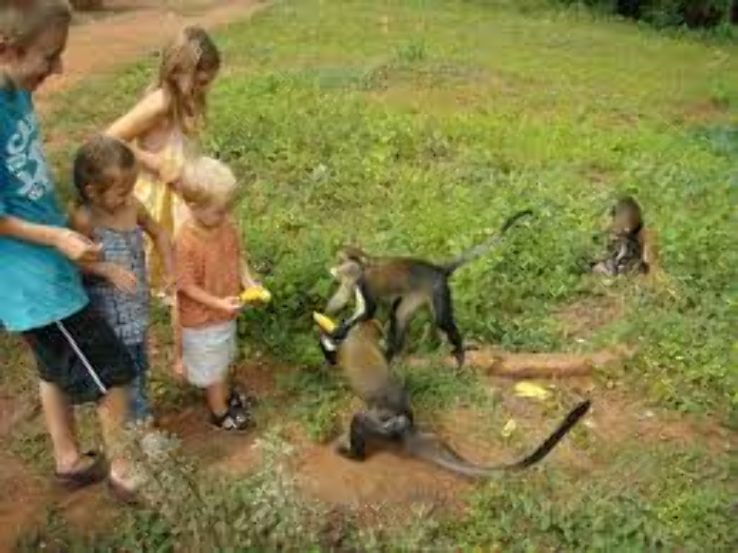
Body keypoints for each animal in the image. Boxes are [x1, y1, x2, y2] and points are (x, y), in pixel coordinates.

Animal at [314, 313, 591, 479]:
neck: (361, 333)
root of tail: (406, 421)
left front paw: (327, 342)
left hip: (385, 424)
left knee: (361, 421)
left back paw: (355, 454)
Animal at [324, 209, 534, 368]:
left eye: (341, 261)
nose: (334, 268)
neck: (364, 267)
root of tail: (439, 270)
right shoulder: (355, 284)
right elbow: (347, 302)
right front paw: (331, 319)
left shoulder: (365, 284)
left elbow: (368, 312)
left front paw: (338, 331)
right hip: (415, 296)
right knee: (399, 315)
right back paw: (392, 354)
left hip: (438, 289)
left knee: (442, 321)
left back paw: (459, 350)